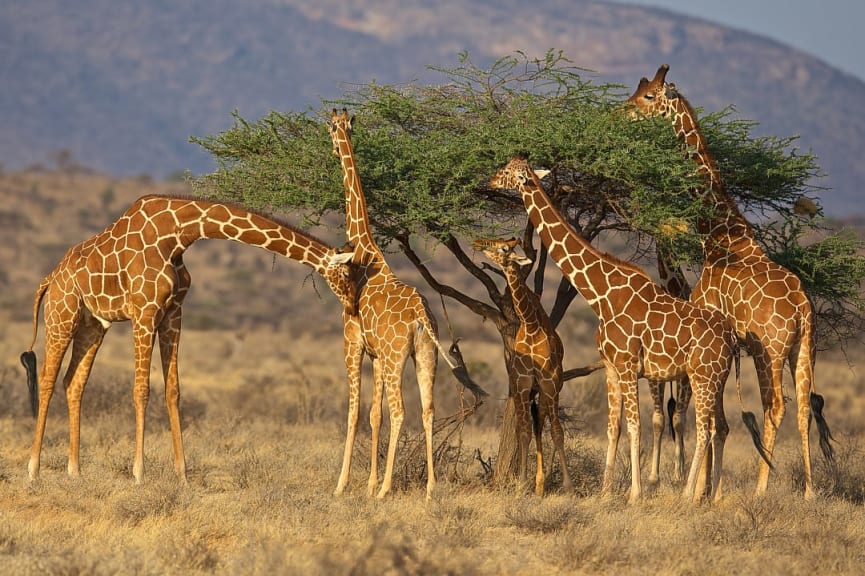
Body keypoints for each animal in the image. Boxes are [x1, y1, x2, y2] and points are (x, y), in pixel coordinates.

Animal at [20, 196, 358, 484]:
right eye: (346, 275)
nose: (354, 304)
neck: (179, 233)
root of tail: (49, 279)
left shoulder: (173, 313)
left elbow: (173, 390)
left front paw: (182, 475)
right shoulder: (144, 312)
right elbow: (141, 389)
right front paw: (139, 473)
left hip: (93, 325)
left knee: (73, 382)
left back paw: (74, 471)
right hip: (62, 316)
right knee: (47, 379)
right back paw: (33, 469)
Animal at [328, 107, 486, 500]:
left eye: (329, 128)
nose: (334, 149)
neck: (365, 251)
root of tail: (420, 317)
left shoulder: (354, 344)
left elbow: (356, 413)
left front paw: (344, 485)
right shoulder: (376, 354)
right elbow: (375, 414)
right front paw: (368, 483)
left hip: (398, 354)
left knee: (401, 411)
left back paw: (387, 489)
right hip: (426, 353)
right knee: (428, 409)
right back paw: (430, 487)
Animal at [472, 236, 572, 492]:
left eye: (504, 248)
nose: (477, 242)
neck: (530, 324)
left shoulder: (550, 384)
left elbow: (557, 432)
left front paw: (568, 485)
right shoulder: (523, 383)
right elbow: (524, 432)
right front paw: (521, 482)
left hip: (546, 391)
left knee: (541, 424)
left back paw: (541, 483)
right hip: (523, 391)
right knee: (528, 427)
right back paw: (536, 483)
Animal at [492, 155, 744, 502]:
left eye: (507, 171)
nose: (490, 181)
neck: (601, 295)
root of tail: (732, 337)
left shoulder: (627, 366)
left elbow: (636, 426)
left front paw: (635, 494)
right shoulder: (611, 368)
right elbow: (614, 427)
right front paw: (605, 491)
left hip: (702, 376)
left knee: (705, 428)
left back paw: (687, 495)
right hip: (716, 379)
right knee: (721, 427)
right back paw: (712, 495)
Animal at [624, 65, 832, 500]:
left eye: (649, 96)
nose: (621, 112)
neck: (719, 237)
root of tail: (803, 311)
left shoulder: (714, 331)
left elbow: (713, 418)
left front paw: (702, 490)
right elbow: (716, 418)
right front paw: (706, 489)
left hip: (768, 351)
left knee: (776, 406)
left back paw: (761, 489)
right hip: (804, 349)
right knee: (805, 405)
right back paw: (807, 490)